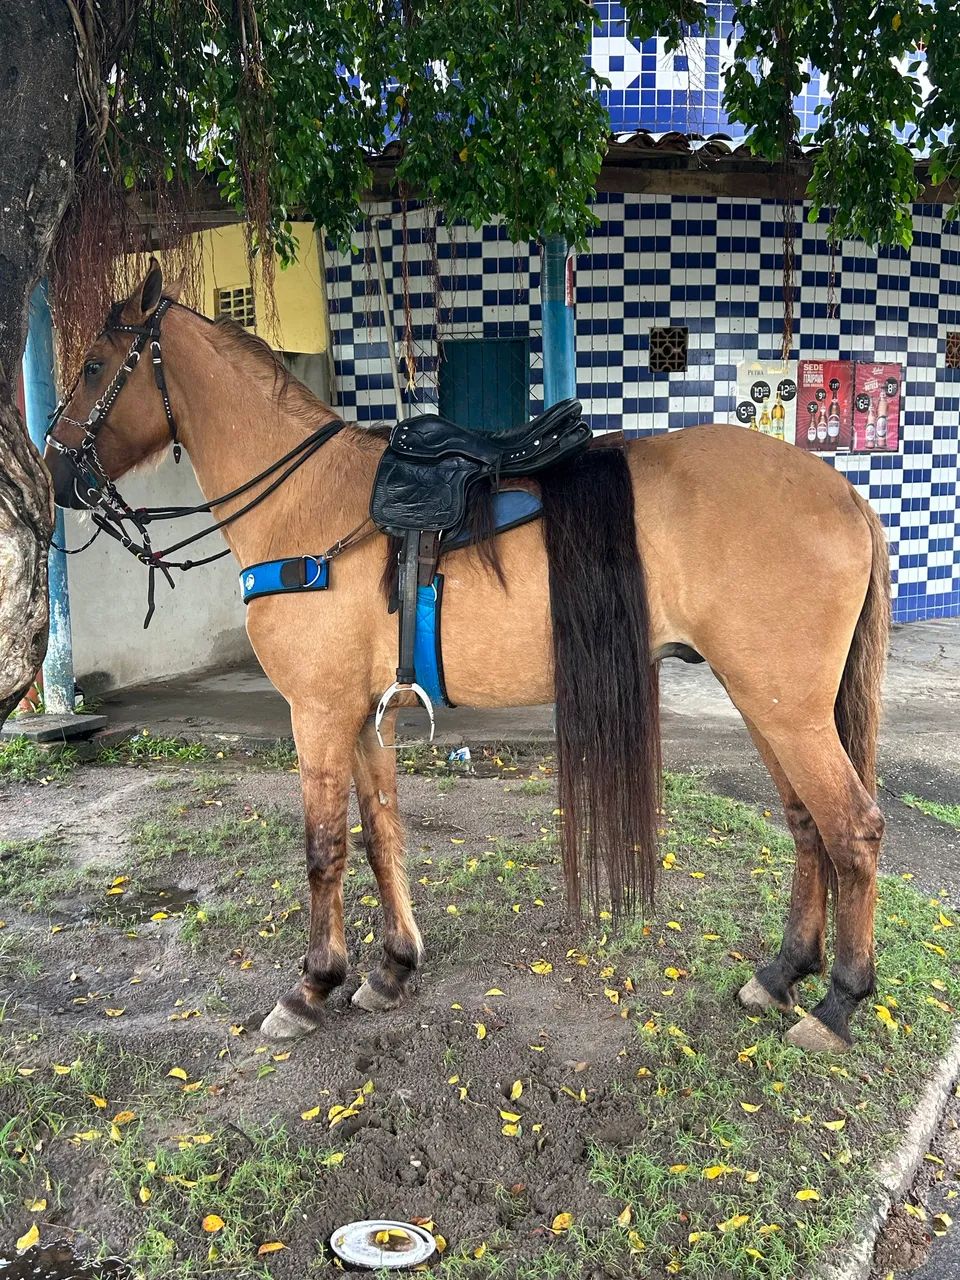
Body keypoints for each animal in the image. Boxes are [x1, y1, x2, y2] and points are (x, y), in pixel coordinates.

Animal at [44, 261, 890, 1053]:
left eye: (93, 366)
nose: (53, 471)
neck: (303, 500)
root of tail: (845, 495)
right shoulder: (364, 716)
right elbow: (380, 833)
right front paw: (392, 968)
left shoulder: (316, 712)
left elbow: (323, 849)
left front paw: (312, 987)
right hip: (769, 705)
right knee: (807, 824)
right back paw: (782, 972)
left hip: (787, 710)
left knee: (852, 829)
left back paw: (839, 1003)